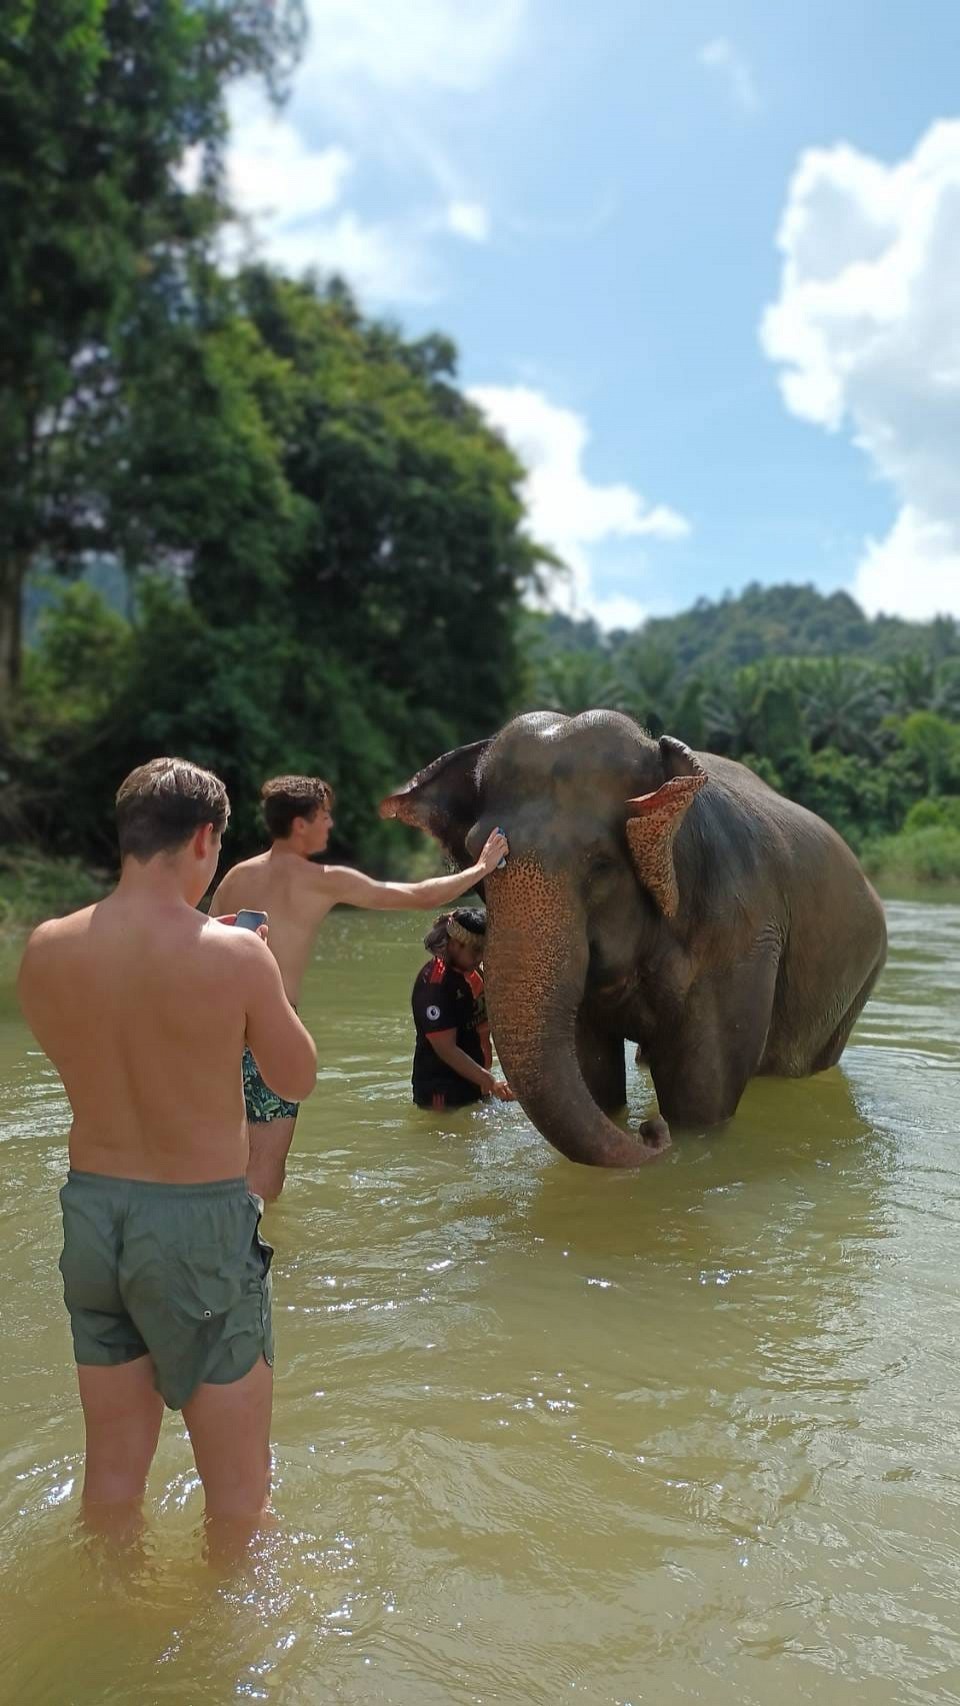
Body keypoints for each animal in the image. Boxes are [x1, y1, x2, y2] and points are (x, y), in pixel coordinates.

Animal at [380, 709, 893, 1173]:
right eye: (475, 858)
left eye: (602, 864)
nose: (649, 1132)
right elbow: (593, 1072)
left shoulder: (742, 938)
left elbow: (701, 1098)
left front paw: (680, 1135)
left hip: (856, 985)